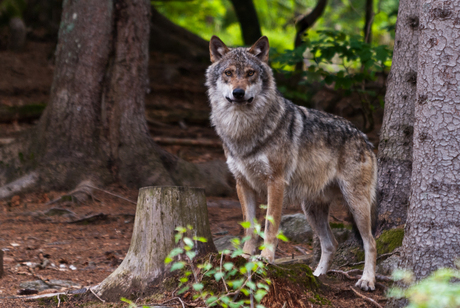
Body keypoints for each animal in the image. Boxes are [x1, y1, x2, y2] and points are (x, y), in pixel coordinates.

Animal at [205, 35, 378, 292]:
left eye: (250, 73)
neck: (242, 129)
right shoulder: (242, 184)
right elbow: (249, 228)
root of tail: (364, 137)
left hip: (356, 203)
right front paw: (245, 257)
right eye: (228, 72)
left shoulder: (275, 183)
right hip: (311, 209)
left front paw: (266, 259)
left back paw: (367, 280)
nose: (238, 92)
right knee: (331, 244)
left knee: (370, 241)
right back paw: (317, 276)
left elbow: (270, 227)